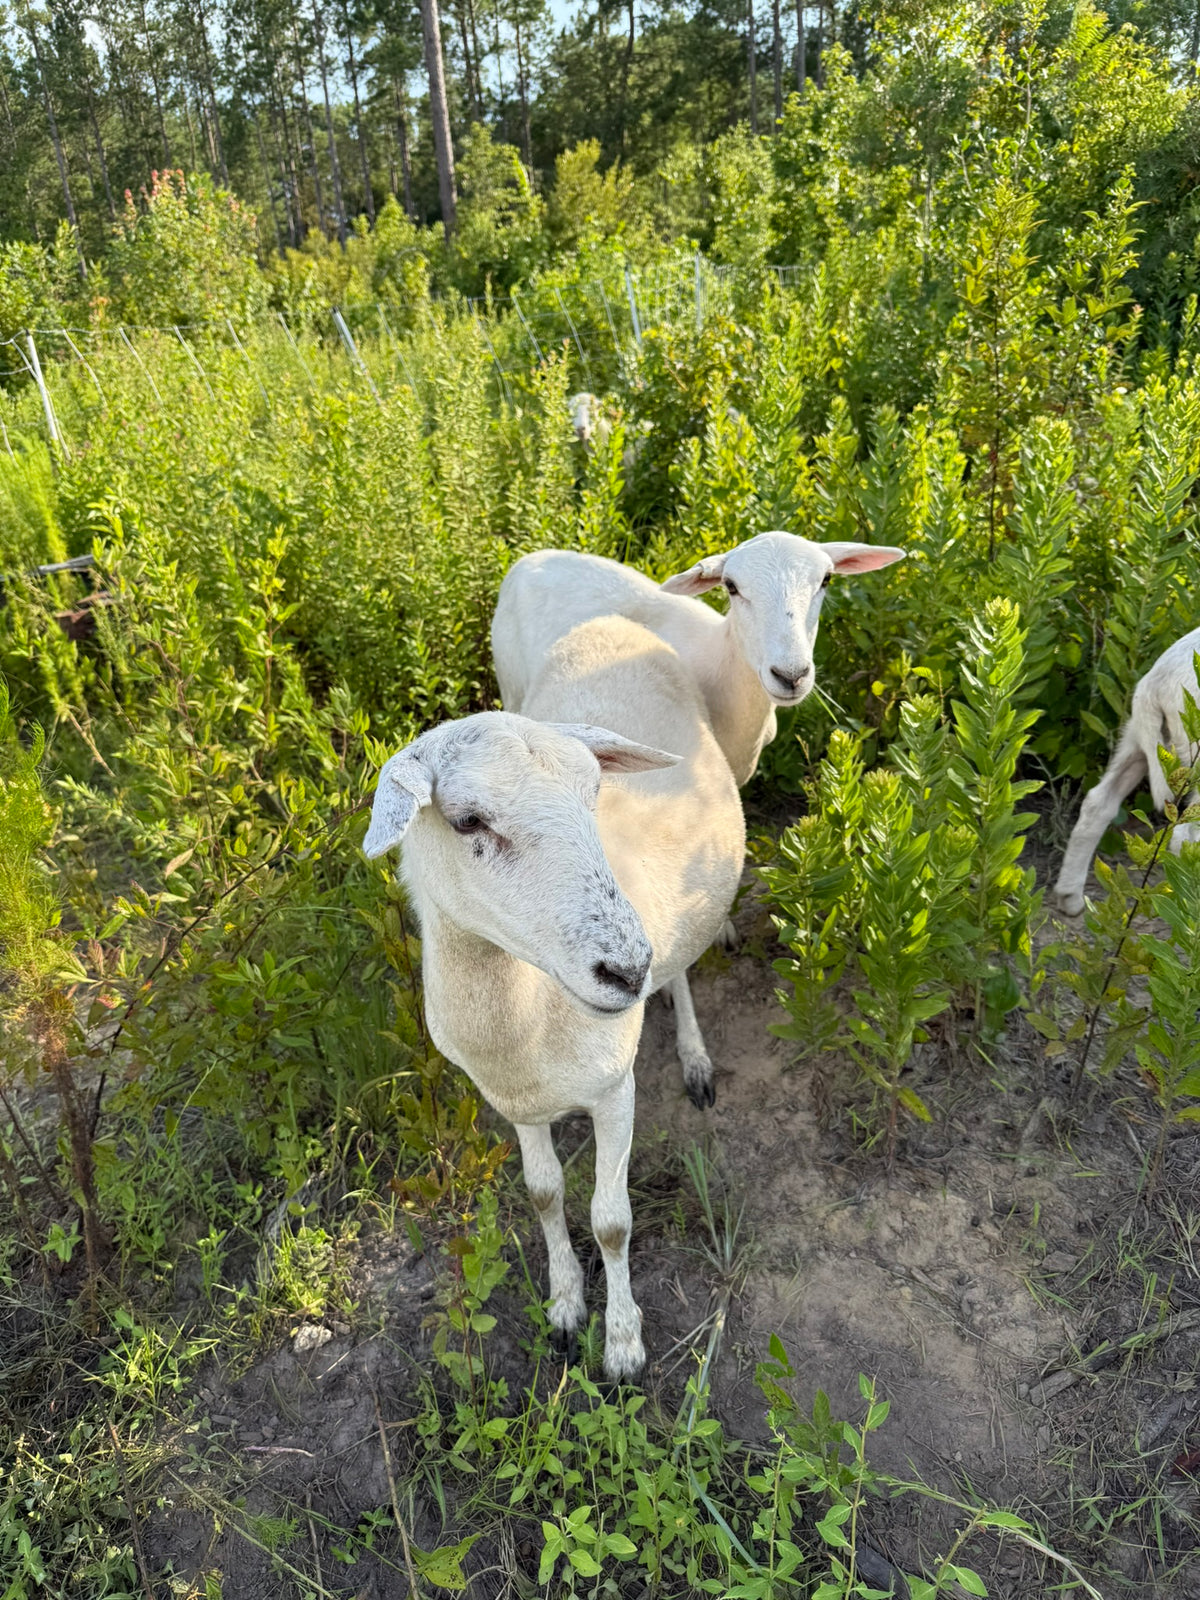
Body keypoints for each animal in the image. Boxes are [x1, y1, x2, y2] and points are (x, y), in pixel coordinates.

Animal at [363, 615, 744, 1380]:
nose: (624, 969)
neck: (527, 1016)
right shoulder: (512, 1099)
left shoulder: (616, 1088)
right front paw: (565, 1307)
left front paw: (623, 1345)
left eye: (595, 795)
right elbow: (543, 1195)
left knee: (684, 972)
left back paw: (693, 1055)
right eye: (468, 821)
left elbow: (613, 1222)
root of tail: (615, 621)